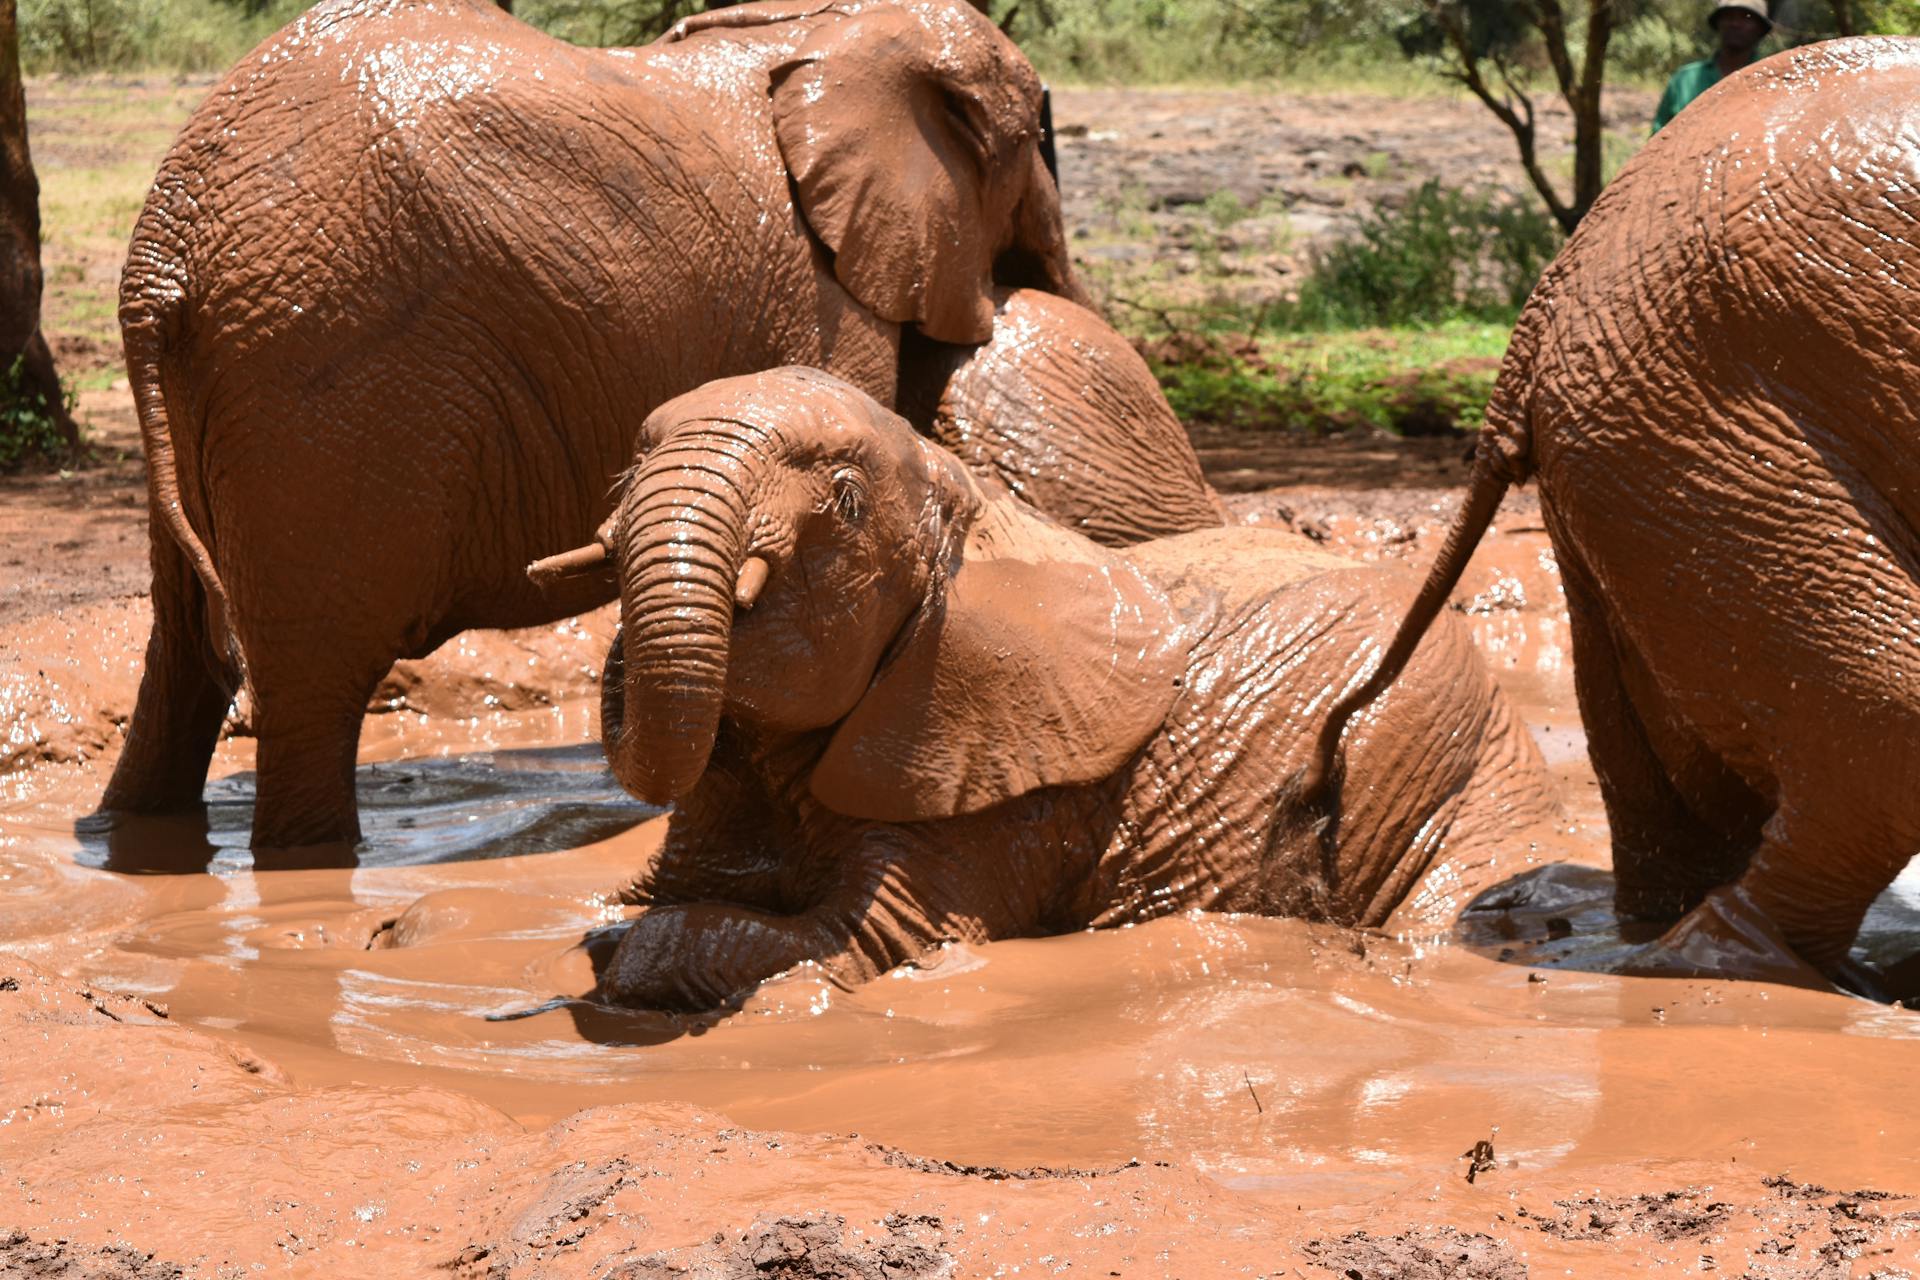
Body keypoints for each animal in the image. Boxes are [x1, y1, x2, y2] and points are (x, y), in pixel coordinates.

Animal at [105, 2, 1213, 859]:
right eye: (1033, 146)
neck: (826, 27)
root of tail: (163, 249)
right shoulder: (828, 293)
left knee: (185, 661)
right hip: (327, 372)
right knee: (311, 686)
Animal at [529, 368, 1559, 1013]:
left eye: (847, 500)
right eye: (632, 461)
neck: (974, 511)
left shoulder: (991, 787)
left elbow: (864, 941)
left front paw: (627, 959)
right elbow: (619, 900)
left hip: (1439, 755)